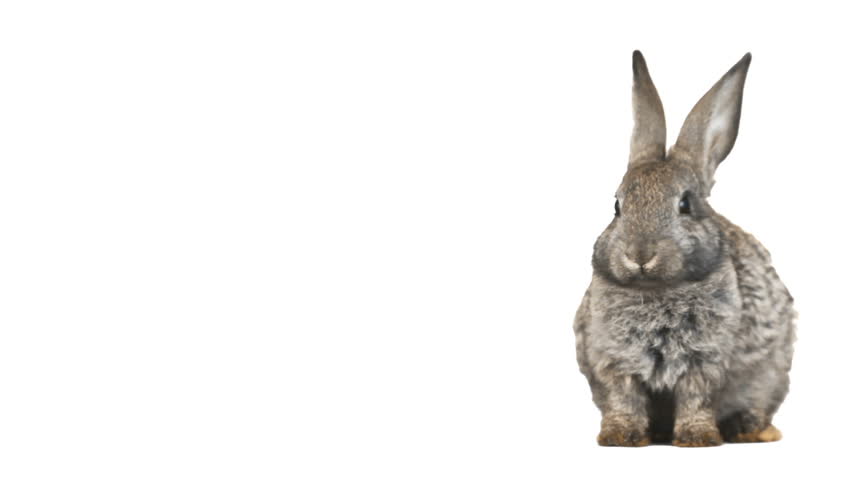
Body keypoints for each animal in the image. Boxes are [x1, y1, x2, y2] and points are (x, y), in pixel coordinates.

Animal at [573, 51, 796, 447]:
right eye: (617, 206)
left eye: (685, 205)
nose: (639, 255)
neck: (655, 289)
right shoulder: (612, 362)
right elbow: (623, 398)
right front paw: (619, 436)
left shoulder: (705, 360)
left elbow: (697, 398)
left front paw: (697, 438)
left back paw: (751, 428)